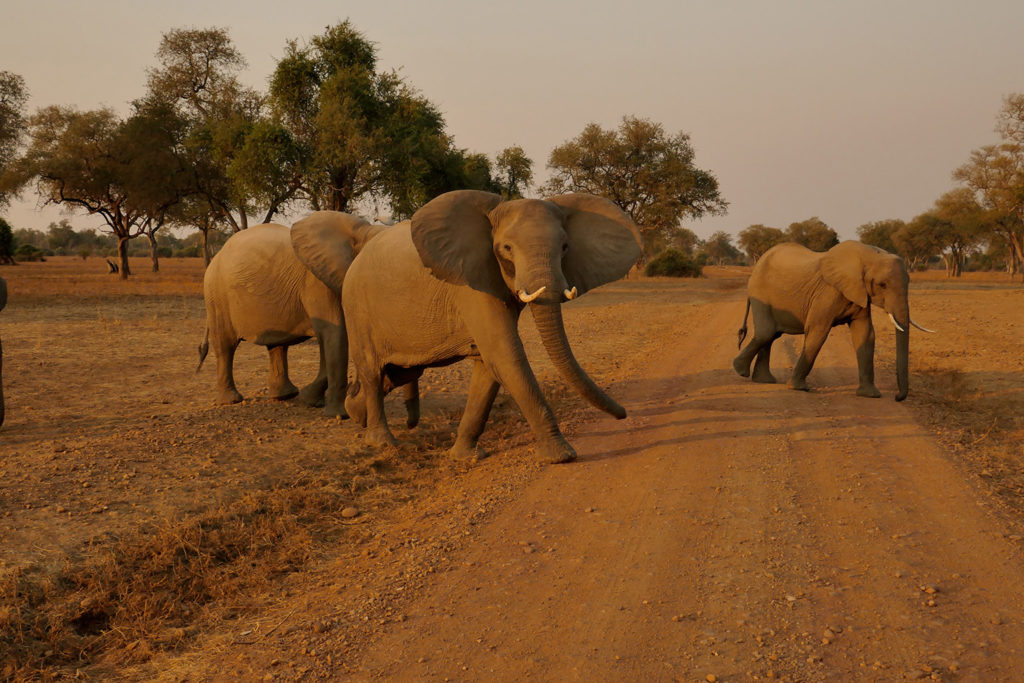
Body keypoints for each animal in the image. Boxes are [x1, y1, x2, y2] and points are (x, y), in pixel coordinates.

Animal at [195, 210, 419, 423]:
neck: (360, 233)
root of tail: (217, 255)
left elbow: (331, 340)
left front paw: (310, 400)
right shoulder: (317, 282)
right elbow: (335, 334)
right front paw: (338, 414)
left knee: (277, 346)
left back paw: (285, 396)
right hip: (215, 294)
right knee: (226, 346)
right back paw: (231, 401)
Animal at [344, 188, 638, 464]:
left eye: (565, 247)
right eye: (506, 248)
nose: (623, 414)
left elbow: (489, 366)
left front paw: (466, 456)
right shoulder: (471, 283)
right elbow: (505, 353)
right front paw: (561, 456)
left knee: (399, 372)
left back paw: (354, 411)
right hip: (357, 308)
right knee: (372, 371)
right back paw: (381, 441)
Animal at [733, 240, 933, 401]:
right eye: (882, 285)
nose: (897, 397)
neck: (869, 255)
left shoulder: (859, 293)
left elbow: (865, 334)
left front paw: (870, 395)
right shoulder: (827, 293)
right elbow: (818, 331)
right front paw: (798, 388)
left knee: (771, 336)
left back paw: (763, 380)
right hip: (760, 293)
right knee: (766, 333)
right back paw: (739, 371)